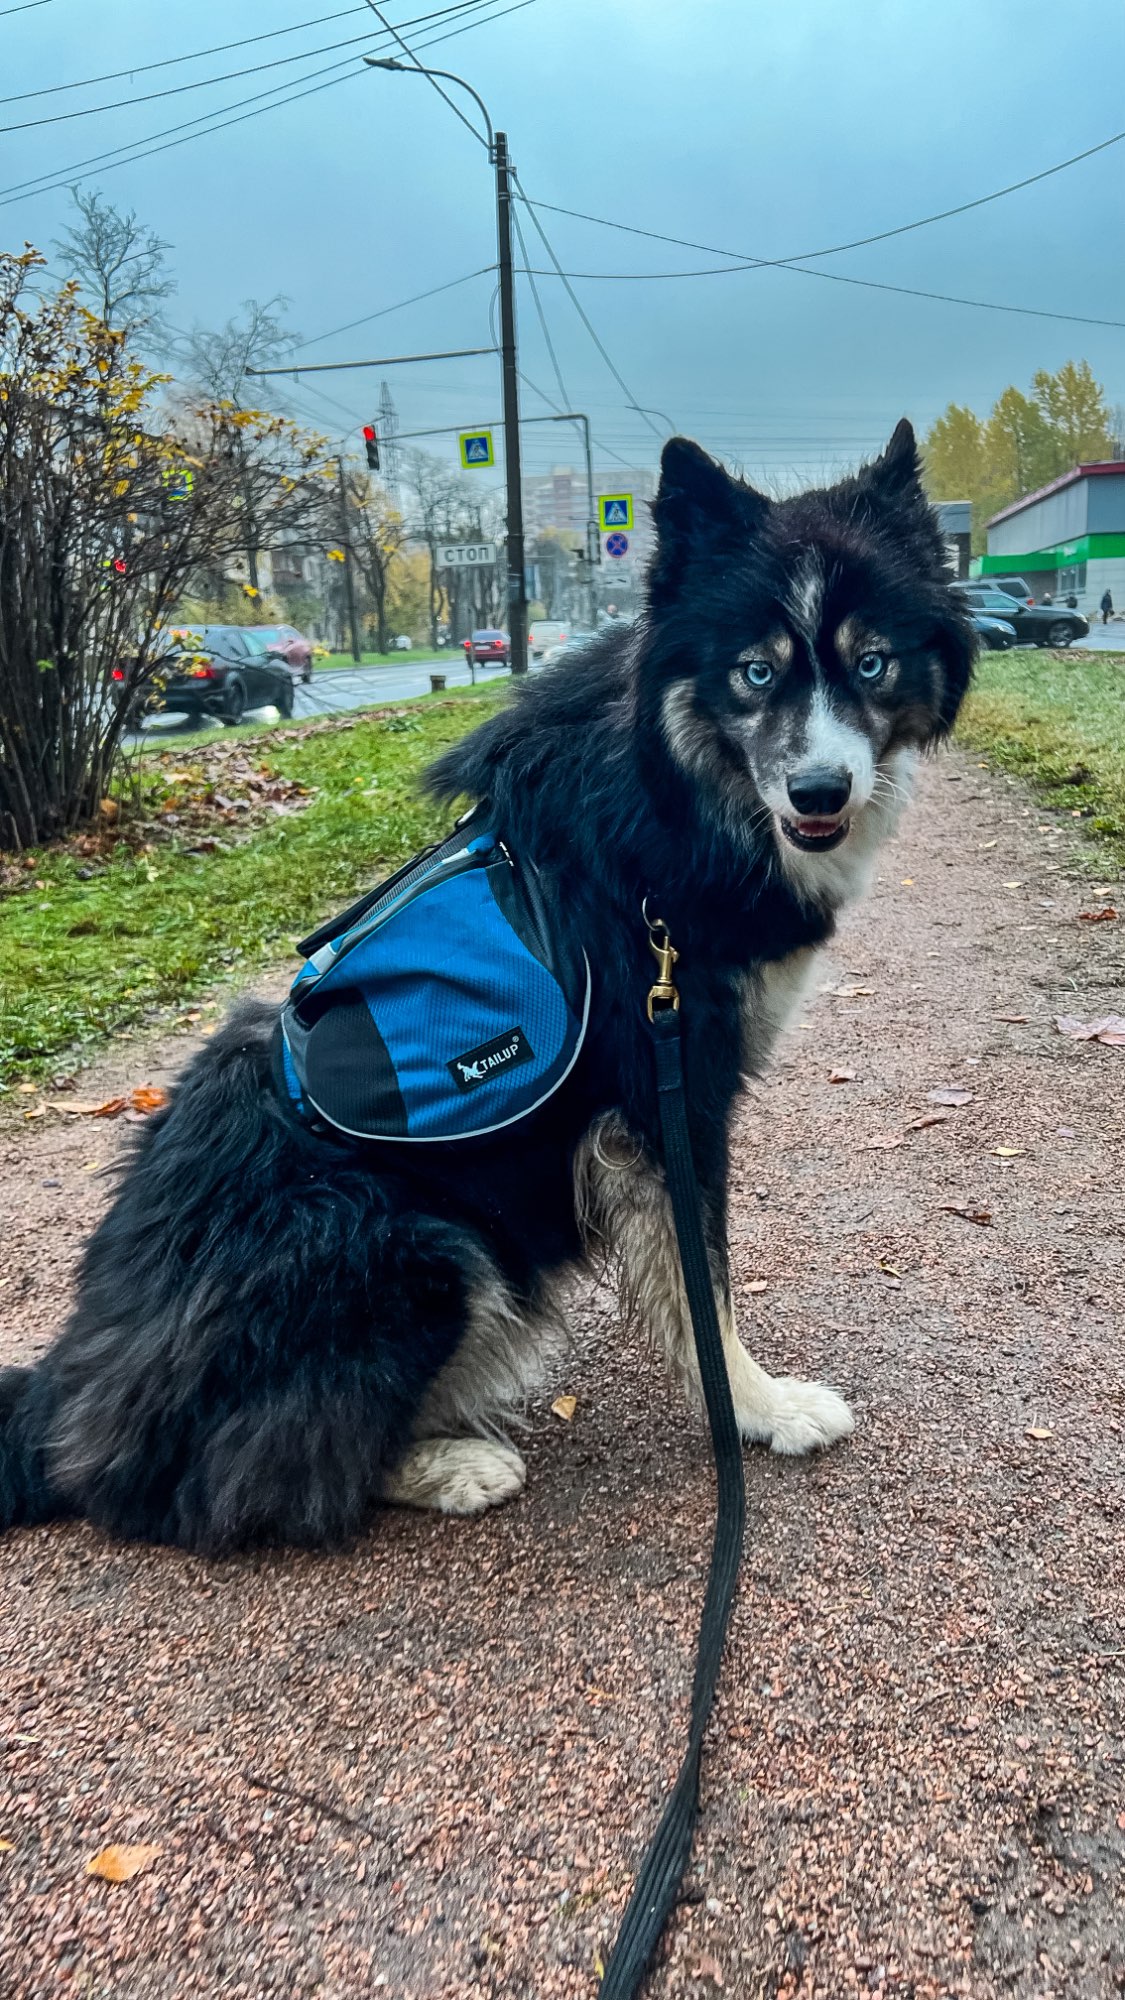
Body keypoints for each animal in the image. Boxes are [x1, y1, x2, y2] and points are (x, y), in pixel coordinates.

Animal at [0, 418, 972, 1544]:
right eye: (755, 674)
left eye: (872, 660)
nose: (820, 790)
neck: (673, 795)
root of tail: (65, 1403)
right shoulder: (667, 1095)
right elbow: (703, 1284)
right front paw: (760, 1410)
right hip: (406, 1241)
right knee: (224, 1482)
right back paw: (448, 1462)